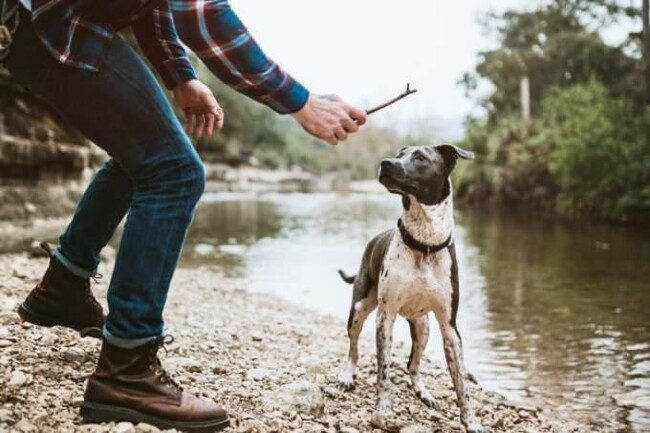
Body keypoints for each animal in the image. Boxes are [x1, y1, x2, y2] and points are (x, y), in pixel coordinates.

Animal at [336, 144, 484, 432]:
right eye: (399, 153)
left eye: (421, 157)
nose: (386, 163)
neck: (424, 244)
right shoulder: (385, 318)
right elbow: (383, 371)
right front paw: (383, 409)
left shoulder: (450, 328)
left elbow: (462, 384)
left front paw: (471, 421)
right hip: (359, 309)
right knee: (353, 348)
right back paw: (347, 376)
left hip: (423, 327)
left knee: (413, 365)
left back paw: (423, 392)